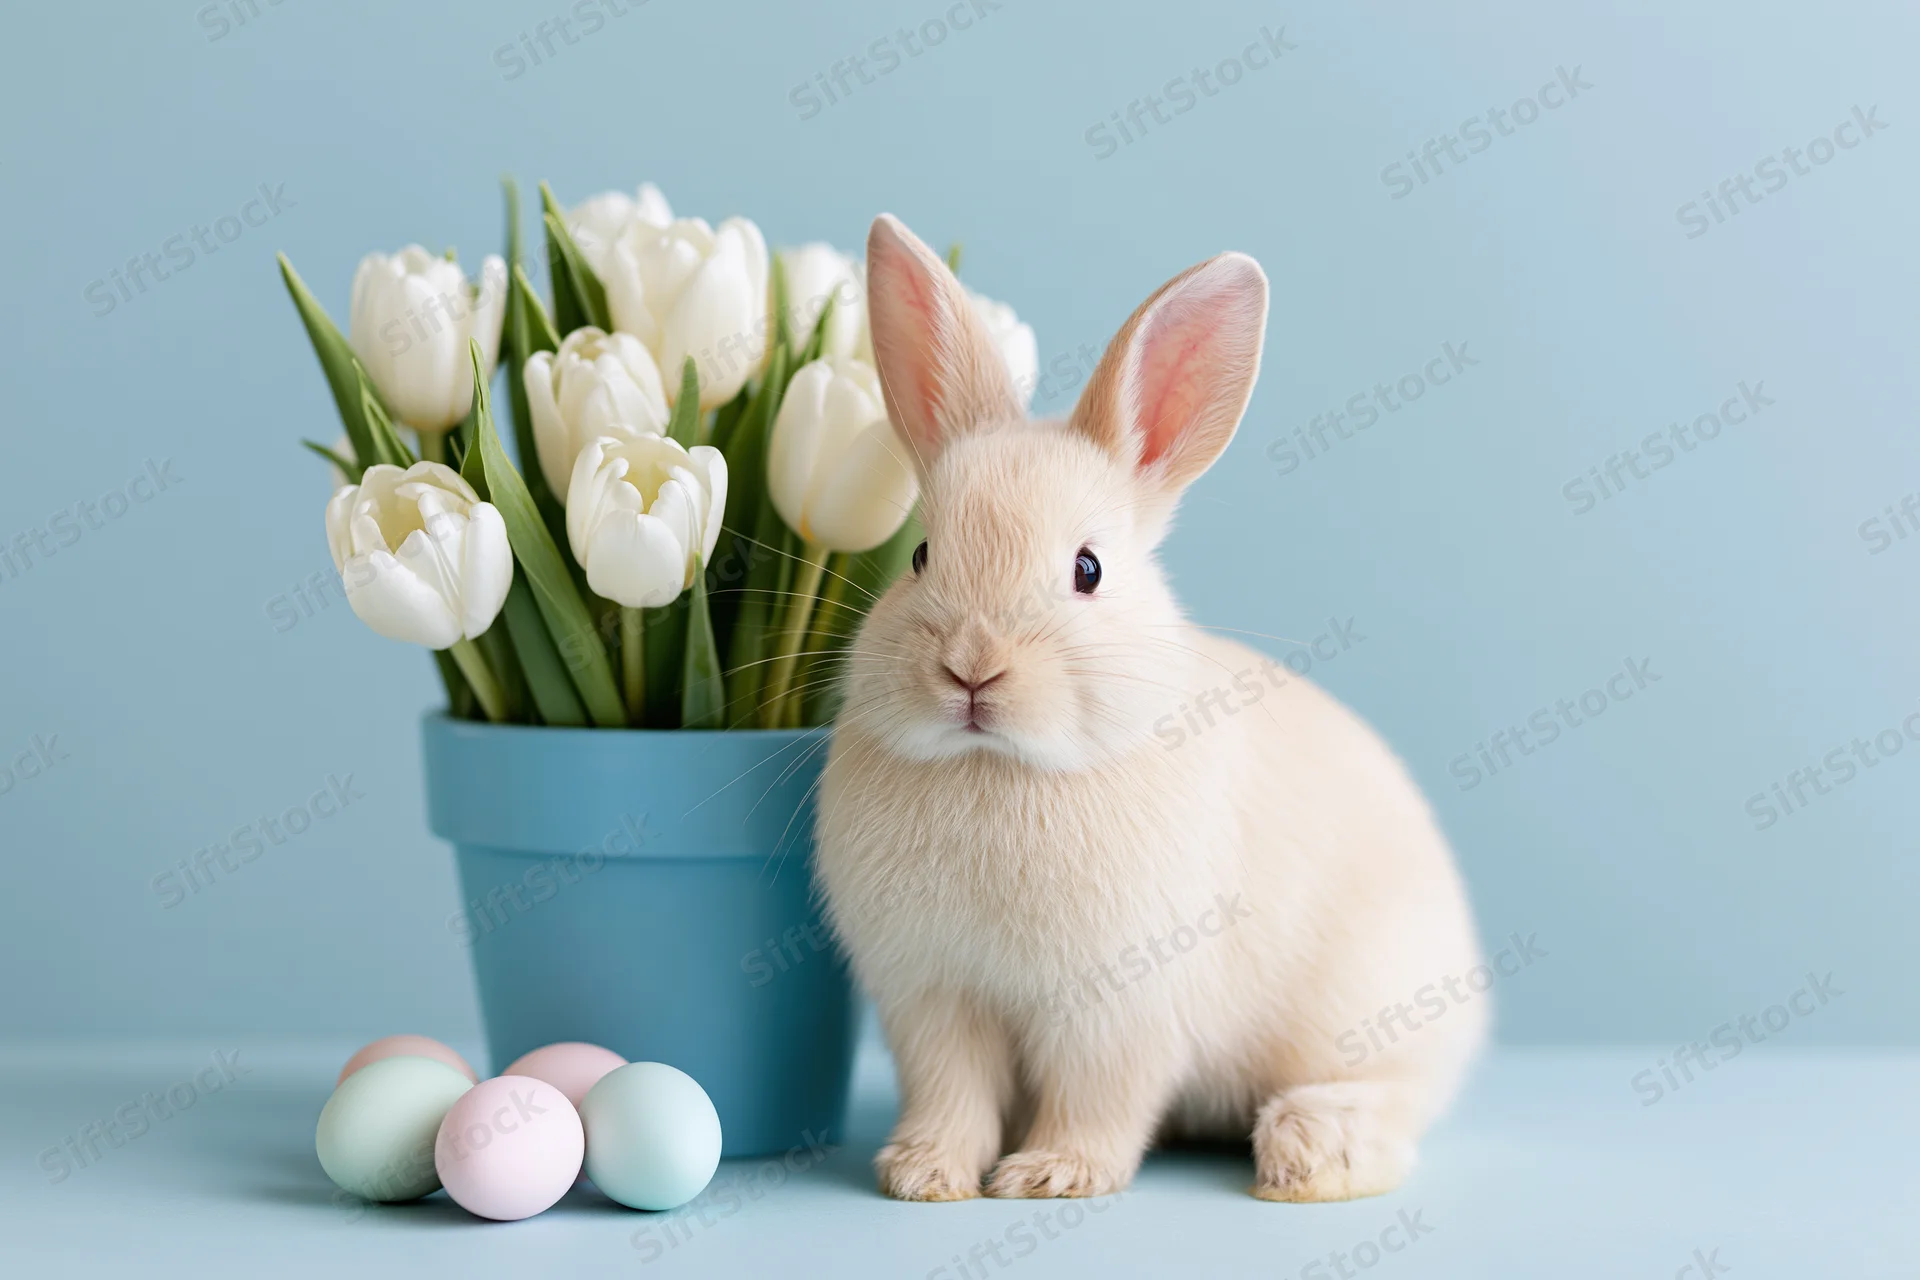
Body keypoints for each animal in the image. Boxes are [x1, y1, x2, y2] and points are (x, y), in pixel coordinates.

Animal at [813, 213, 1487, 1203]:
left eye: (1087, 569)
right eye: (924, 557)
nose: (972, 668)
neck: (999, 767)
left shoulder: (1119, 1009)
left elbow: (1100, 1097)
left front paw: (1052, 1174)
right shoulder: (934, 1000)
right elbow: (952, 1091)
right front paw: (924, 1174)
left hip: (1369, 1007)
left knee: (1397, 1094)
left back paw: (1309, 1153)